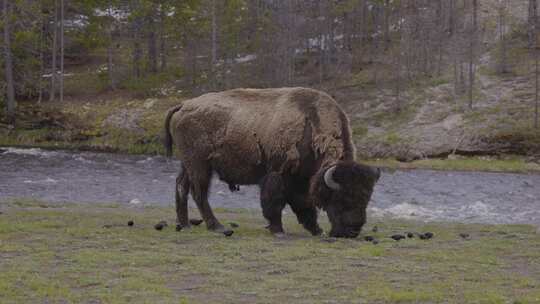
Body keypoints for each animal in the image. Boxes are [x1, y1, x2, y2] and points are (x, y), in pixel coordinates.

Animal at [165, 87, 380, 238]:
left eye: (366, 198)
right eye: (342, 198)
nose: (353, 231)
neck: (312, 126)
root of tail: (183, 105)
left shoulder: (301, 179)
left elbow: (304, 204)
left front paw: (316, 230)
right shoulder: (279, 174)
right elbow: (276, 201)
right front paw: (278, 230)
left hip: (188, 164)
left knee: (181, 186)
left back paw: (184, 225)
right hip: (200, 164)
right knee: (198, 192)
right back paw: (218, 227)